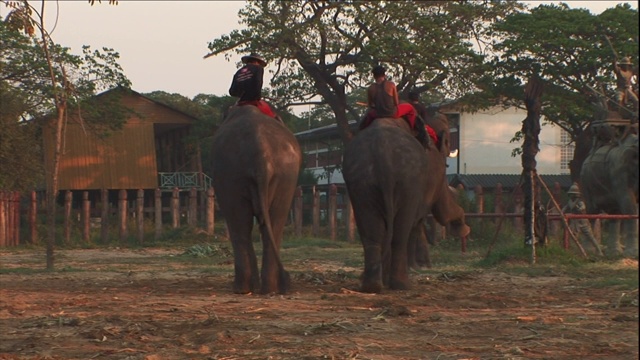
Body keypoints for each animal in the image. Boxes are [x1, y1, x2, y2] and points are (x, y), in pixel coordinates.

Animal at [210, 105, 300, 294]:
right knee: (272, 223)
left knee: (239, 224)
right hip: (285, 176)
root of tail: (261, 154)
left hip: (230, 174)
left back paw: (242, 288)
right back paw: (268, 289)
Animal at [344, 117, 470, 292]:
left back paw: (372, 285)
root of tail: (382, 153)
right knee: (401, 230)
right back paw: (401, 284)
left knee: (371, 229)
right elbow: (420, 218)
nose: (463, 225)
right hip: (408, 179)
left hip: (360, 181)